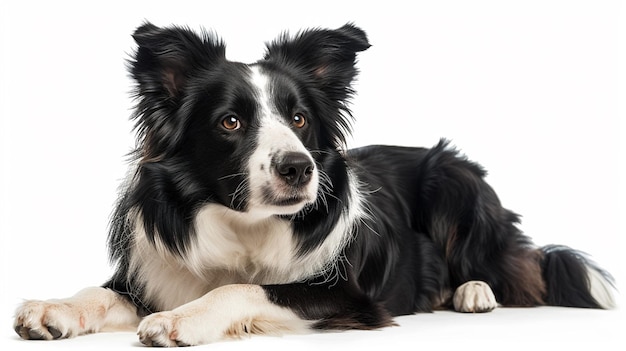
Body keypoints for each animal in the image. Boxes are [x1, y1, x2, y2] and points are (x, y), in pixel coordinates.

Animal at [12, 22, 612, 350]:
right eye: (230, 122)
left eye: (299, 119)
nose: (299, 168)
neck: (244, 227)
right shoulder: (157, 269)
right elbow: (101, 291)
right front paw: (53, 308)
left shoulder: (348, 296)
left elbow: (245, 288)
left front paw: (183, 319)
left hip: (456, 180)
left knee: (516, 267)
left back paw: (473, 292)